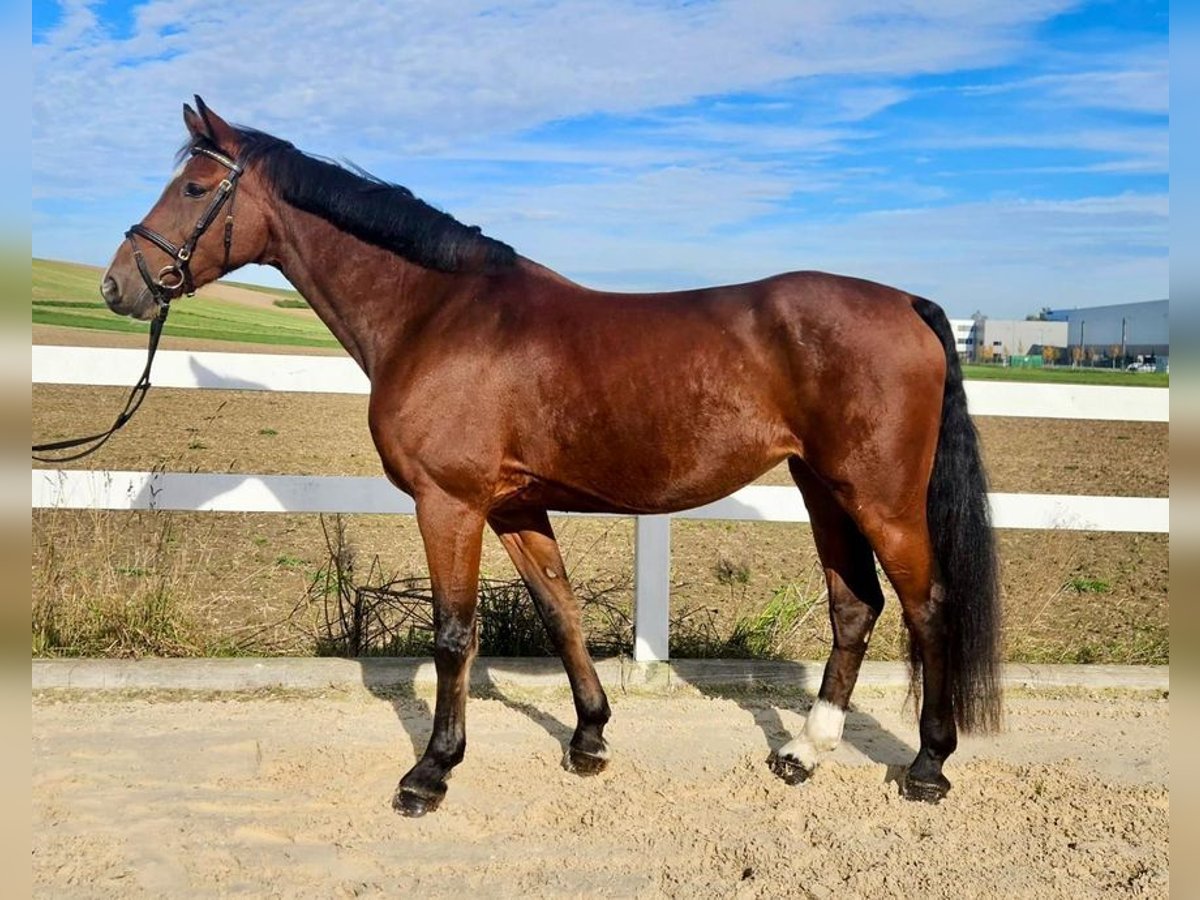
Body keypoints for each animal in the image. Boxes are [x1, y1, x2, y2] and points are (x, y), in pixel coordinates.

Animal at [100, 98, 1003, 816]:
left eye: (191, 189)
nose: (119, 284)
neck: (436, 313)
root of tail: (907, 304)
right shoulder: (514, 506)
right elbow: (560, 611)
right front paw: (589, 738)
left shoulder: (450, 503)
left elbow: (454, 636)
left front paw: (431, 772)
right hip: (821, 487)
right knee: (855, 606)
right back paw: (804, 753)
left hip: (882, 499)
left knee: (927, 609)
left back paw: (929, 764)